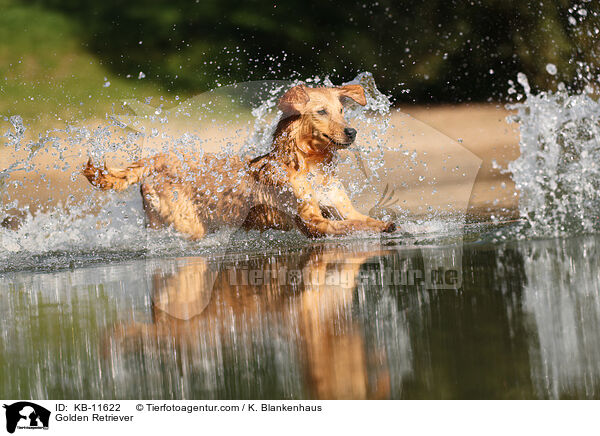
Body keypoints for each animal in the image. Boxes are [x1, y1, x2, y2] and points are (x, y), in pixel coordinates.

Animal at [83, 82, 394, 238]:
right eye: (321, 111)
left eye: (342, 110)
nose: (352, 132)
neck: (311, 166)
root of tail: (155, 159)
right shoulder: (311, 221)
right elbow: (350, 226)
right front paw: (381, 227)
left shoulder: (342, 207)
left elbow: (359, 218)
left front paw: (384, 223)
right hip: (186, 223)